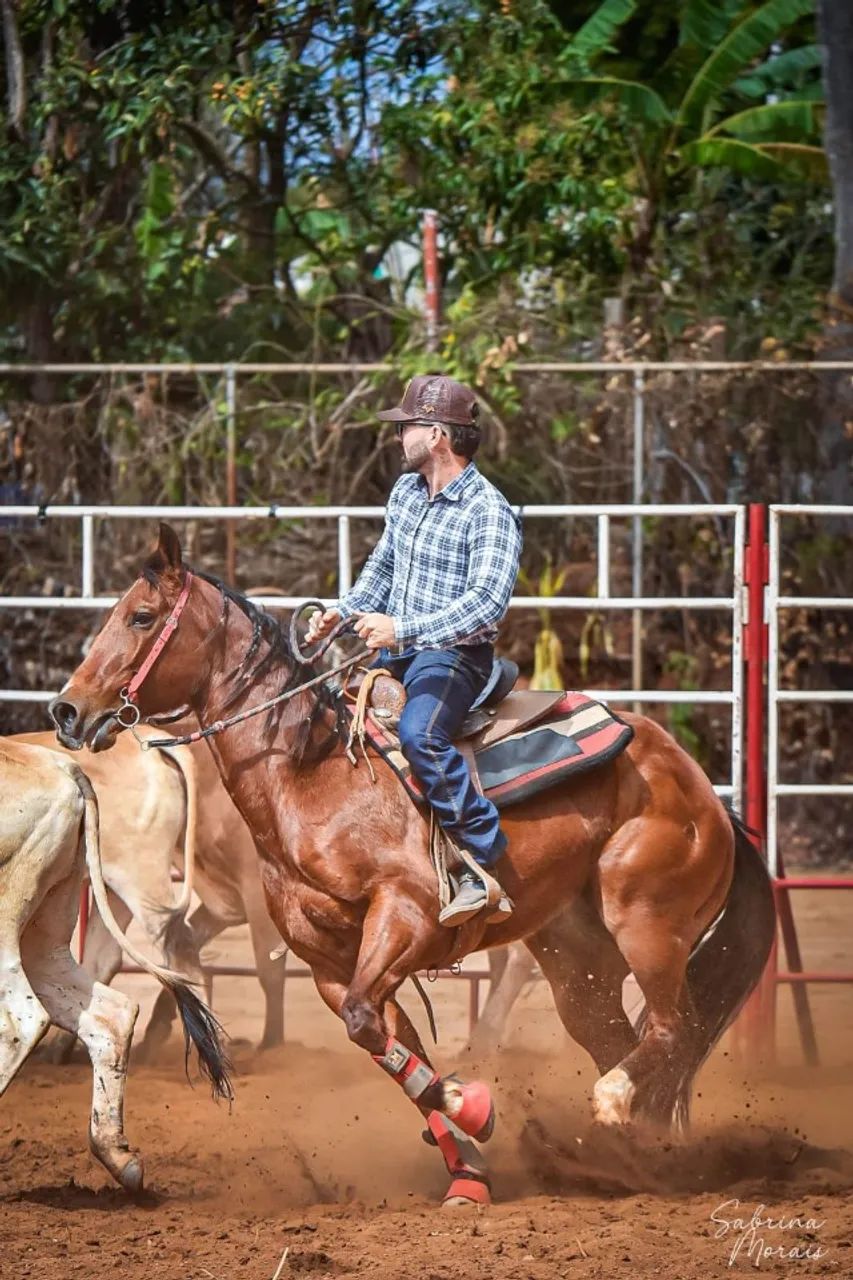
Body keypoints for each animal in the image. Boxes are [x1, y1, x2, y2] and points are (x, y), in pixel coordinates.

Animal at [48, 523, 776, 1207]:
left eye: (141, 617)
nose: (67, 710)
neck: (312, 776)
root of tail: (703, 792)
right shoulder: (331, 962)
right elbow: (388, 1047)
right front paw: (468, 1167)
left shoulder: (406, 917)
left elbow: (368, 1024)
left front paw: (470, 1105)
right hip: (576, 958)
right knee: (616, 1033)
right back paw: (633, 1154)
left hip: (646, 920)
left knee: (673, 1028)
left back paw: (612, 1104)